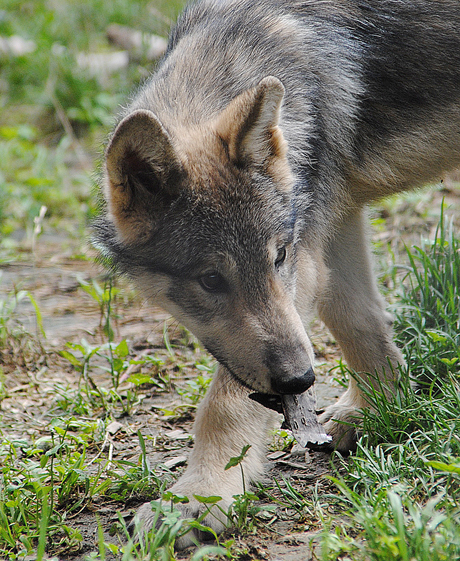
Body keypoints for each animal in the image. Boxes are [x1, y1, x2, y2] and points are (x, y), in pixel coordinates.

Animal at [95, 0, 460, 548]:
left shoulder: (306, 250)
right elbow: (356, 318)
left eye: (277, 258)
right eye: (211, 280)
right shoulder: (329, 226)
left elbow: (223, 404)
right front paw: (376, 409)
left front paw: (199, 498)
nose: (300, 379)